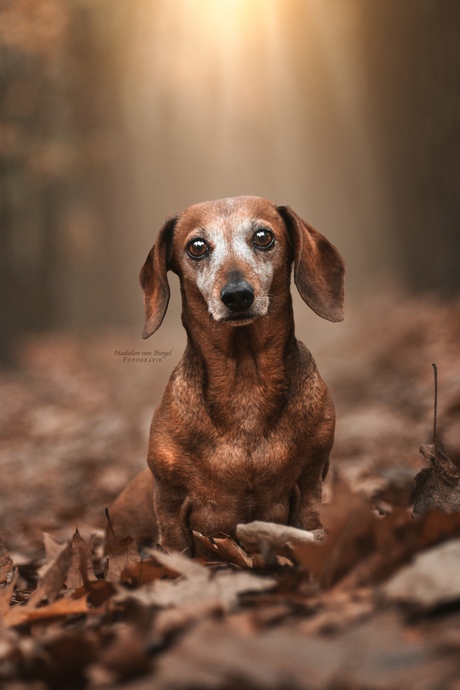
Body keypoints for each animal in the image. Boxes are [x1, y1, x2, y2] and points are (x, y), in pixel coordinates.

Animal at [108, 194, 344, 552]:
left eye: (263, 236)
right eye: (197, 246)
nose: (237, 295)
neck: (244, 381)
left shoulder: (310, 481)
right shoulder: (169, 500)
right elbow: (178, 547)